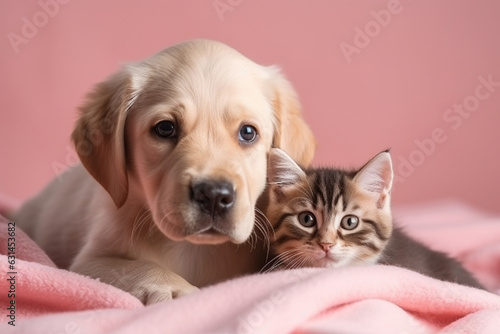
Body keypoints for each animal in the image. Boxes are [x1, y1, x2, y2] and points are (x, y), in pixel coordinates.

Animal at [13, 39, 314, 306]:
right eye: (165, 128)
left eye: (248, 132)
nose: (214, 195)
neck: (197, 248)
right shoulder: (85, 264)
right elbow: (135, 267)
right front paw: (174, 289)